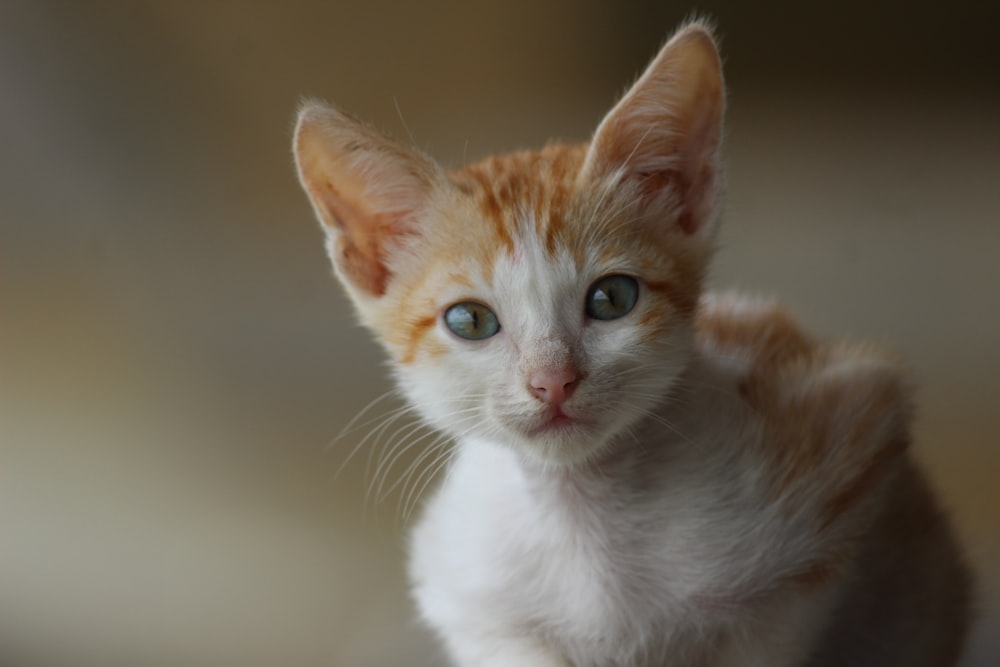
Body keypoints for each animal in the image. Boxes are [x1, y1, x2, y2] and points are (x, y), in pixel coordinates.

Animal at [292, 20, 972, 667]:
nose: (553, 380)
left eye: (612, 298)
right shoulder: (469, 595)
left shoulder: (852, 430)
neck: (583, 512)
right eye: (471, 321)